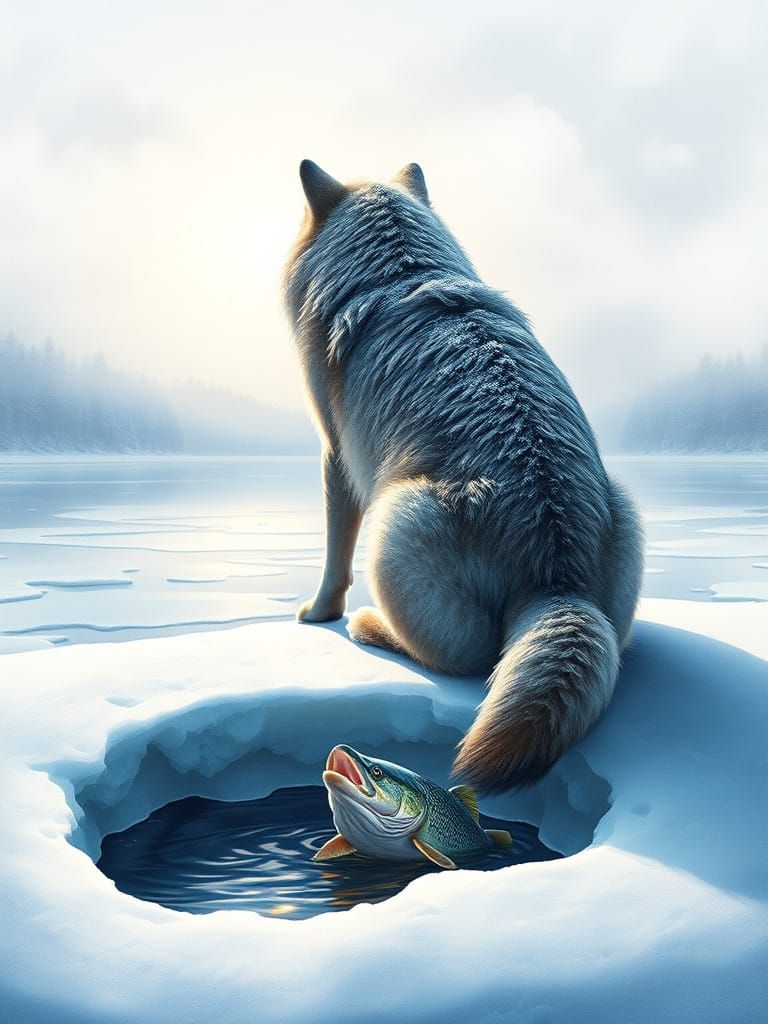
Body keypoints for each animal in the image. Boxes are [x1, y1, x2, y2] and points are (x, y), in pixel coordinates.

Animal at [283, 160, 643, 792]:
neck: (401, 270)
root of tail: (556, 580)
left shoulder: (335, 455)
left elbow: (332, 557)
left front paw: (319, 613)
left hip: (392, 526)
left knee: (462, 661)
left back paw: (368, 626)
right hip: (626, 506)